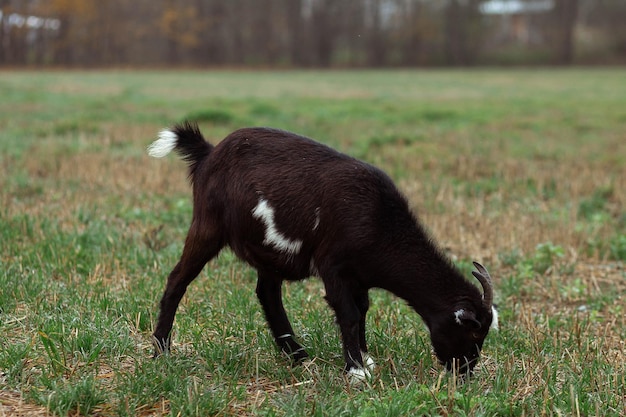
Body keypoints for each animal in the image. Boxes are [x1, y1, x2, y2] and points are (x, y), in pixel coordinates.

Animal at [147, 120, 498, 380]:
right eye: (472, 334)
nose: (465, 372)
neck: (380, 220)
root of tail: (209, 153)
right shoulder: (333, 265)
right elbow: (349, 313)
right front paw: (356, 371)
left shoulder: (358, 275)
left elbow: (363, 310)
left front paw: (365, 358)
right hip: (207, 225)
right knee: (178, 280)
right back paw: (161, 350)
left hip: (266, 247)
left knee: (267, 293)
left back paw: (297, 355)